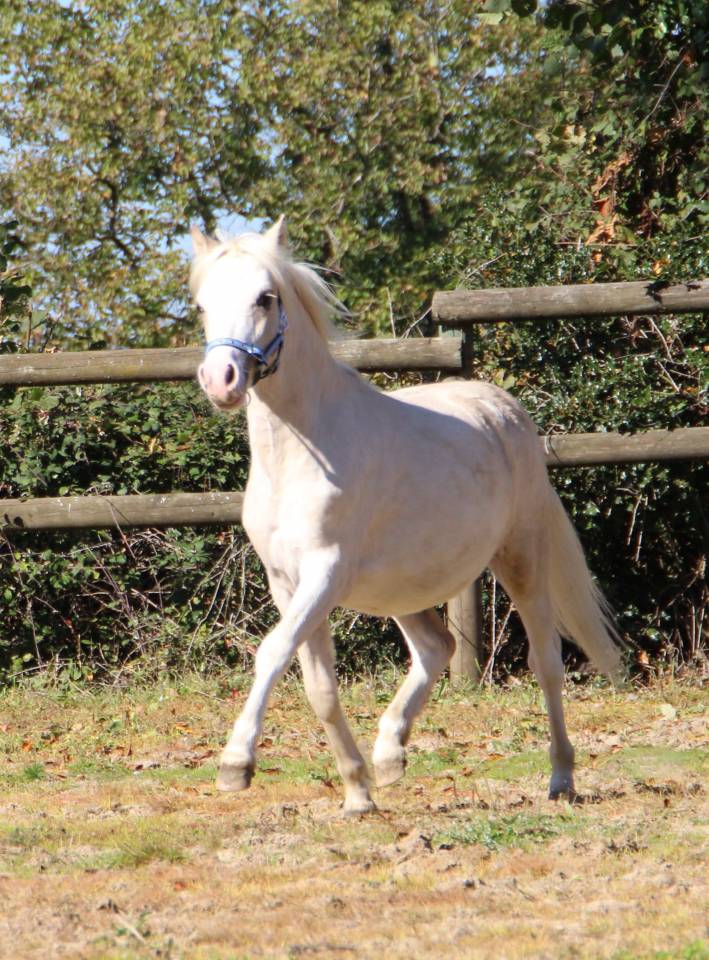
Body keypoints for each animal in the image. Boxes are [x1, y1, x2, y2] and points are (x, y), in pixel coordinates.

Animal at [189, 216, 621, 814]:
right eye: (202, 305)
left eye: (265, 297)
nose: (222, 380)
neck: (304, 449)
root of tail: (504, 408)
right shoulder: (286, 582)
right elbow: (319, 688)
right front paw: (357, 793)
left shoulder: (324, 574)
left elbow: (272, 651)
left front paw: (236, 764)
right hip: (403, 589)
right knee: (438, 647)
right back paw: (390, 752)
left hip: (521, 559)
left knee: (547, 662)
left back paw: (561, 779)